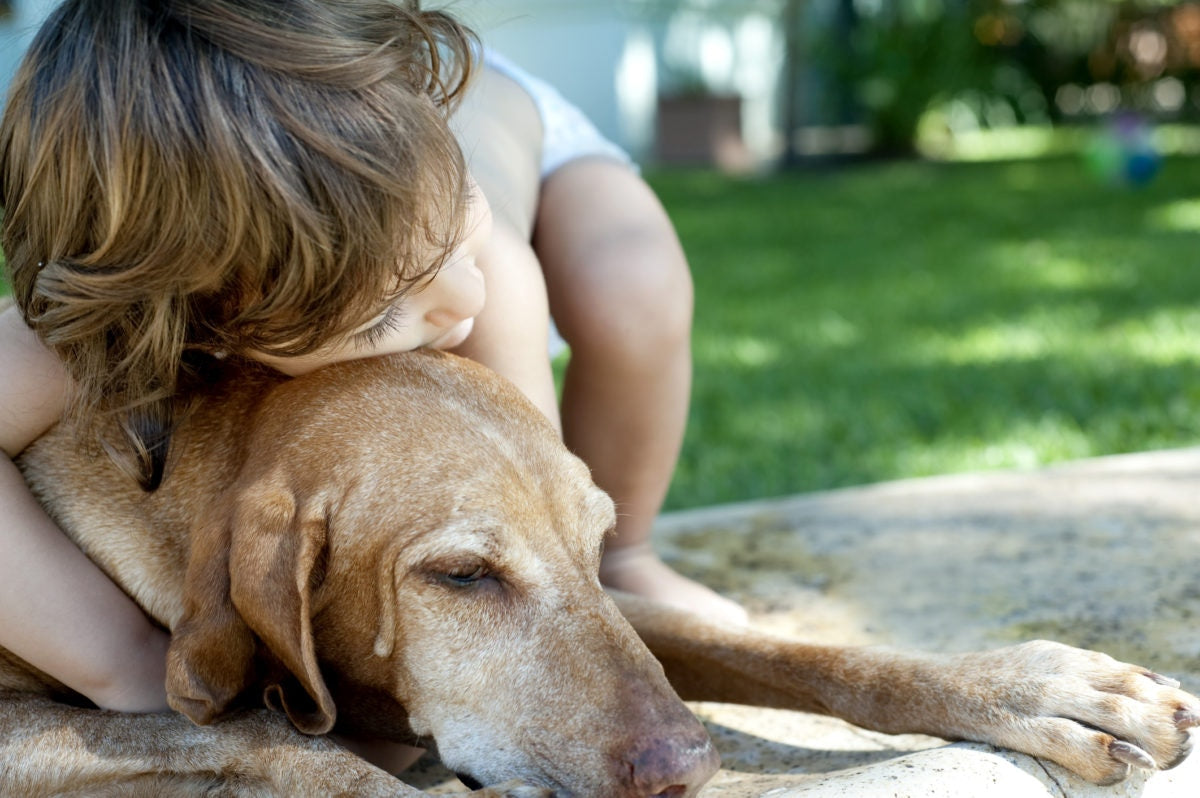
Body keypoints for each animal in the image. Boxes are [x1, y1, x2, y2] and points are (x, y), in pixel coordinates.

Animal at [0, 352, 1195, 792]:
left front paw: (1031, 686)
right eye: (462, 577)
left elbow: (798, 651)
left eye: (593, 539)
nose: (688, 766)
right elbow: (270, 738)